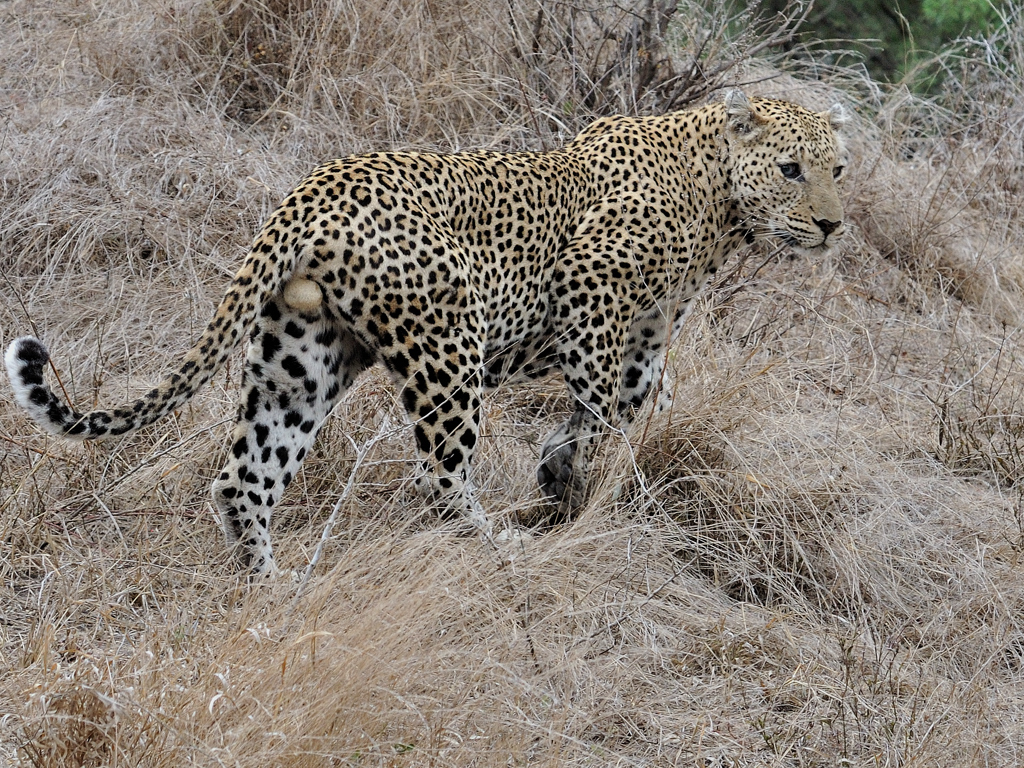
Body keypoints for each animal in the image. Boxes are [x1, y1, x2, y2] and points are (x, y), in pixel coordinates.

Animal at [4, 90, 847, 573]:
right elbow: (602, 408)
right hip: (449, 347)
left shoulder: (645, 338)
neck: (718, 203)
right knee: (436, 475)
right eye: (792, 170)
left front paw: (585, 470)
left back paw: (269, 594)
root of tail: (313, 189)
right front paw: (576, 481)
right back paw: (497, 548)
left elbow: (638, 407)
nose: (835, 226)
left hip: (301, 360)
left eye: (838, 168)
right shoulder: (592, 288)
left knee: (244, 478)